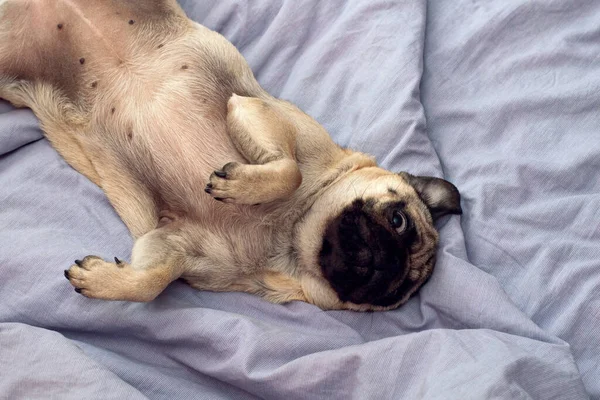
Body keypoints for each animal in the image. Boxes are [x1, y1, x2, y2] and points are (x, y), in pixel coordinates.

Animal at [0, 0, 462, 310]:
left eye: (395, 294)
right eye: (399, 221)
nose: (390, 263)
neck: (290, 234)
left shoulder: (174, 243)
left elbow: (154, 280)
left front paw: (104, 281)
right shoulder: (256, 112)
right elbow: (290, 170)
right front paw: (242, 187)